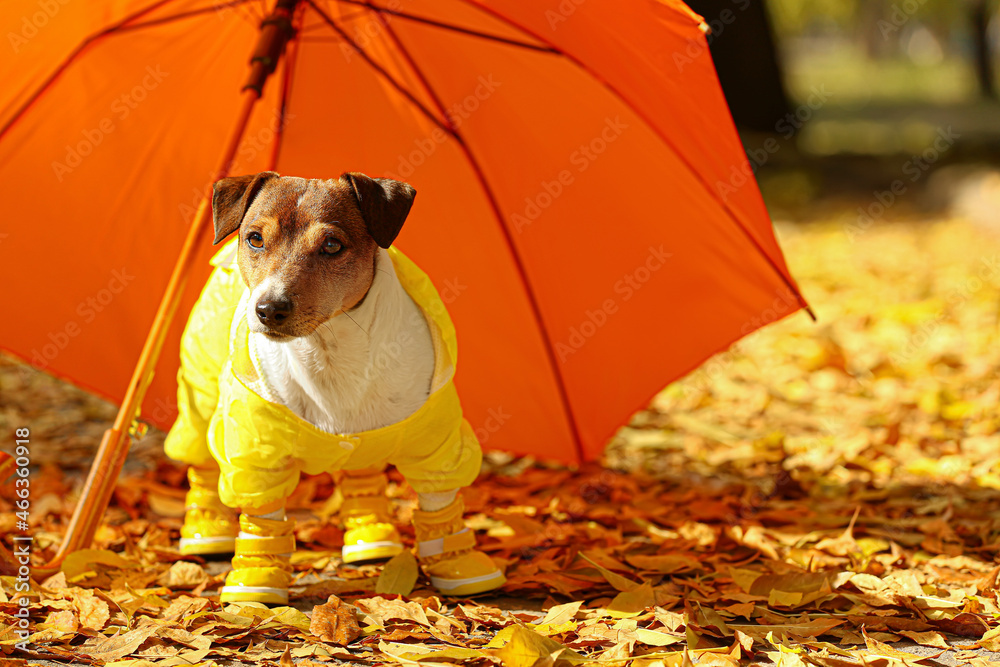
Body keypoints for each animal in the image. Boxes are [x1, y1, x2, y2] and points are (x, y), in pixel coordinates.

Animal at [168, 172, 508, 604]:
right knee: (201, 459)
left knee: (362, 476)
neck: (330, 353)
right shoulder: (257, 450)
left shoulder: (435, 443)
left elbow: (440, 501)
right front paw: (256, 581)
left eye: (332, 245)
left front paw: (458, 563)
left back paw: (372, 537)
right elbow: (262, 516)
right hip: (201, 390)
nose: (268, 309)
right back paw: (206, 531)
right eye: (255, 238)